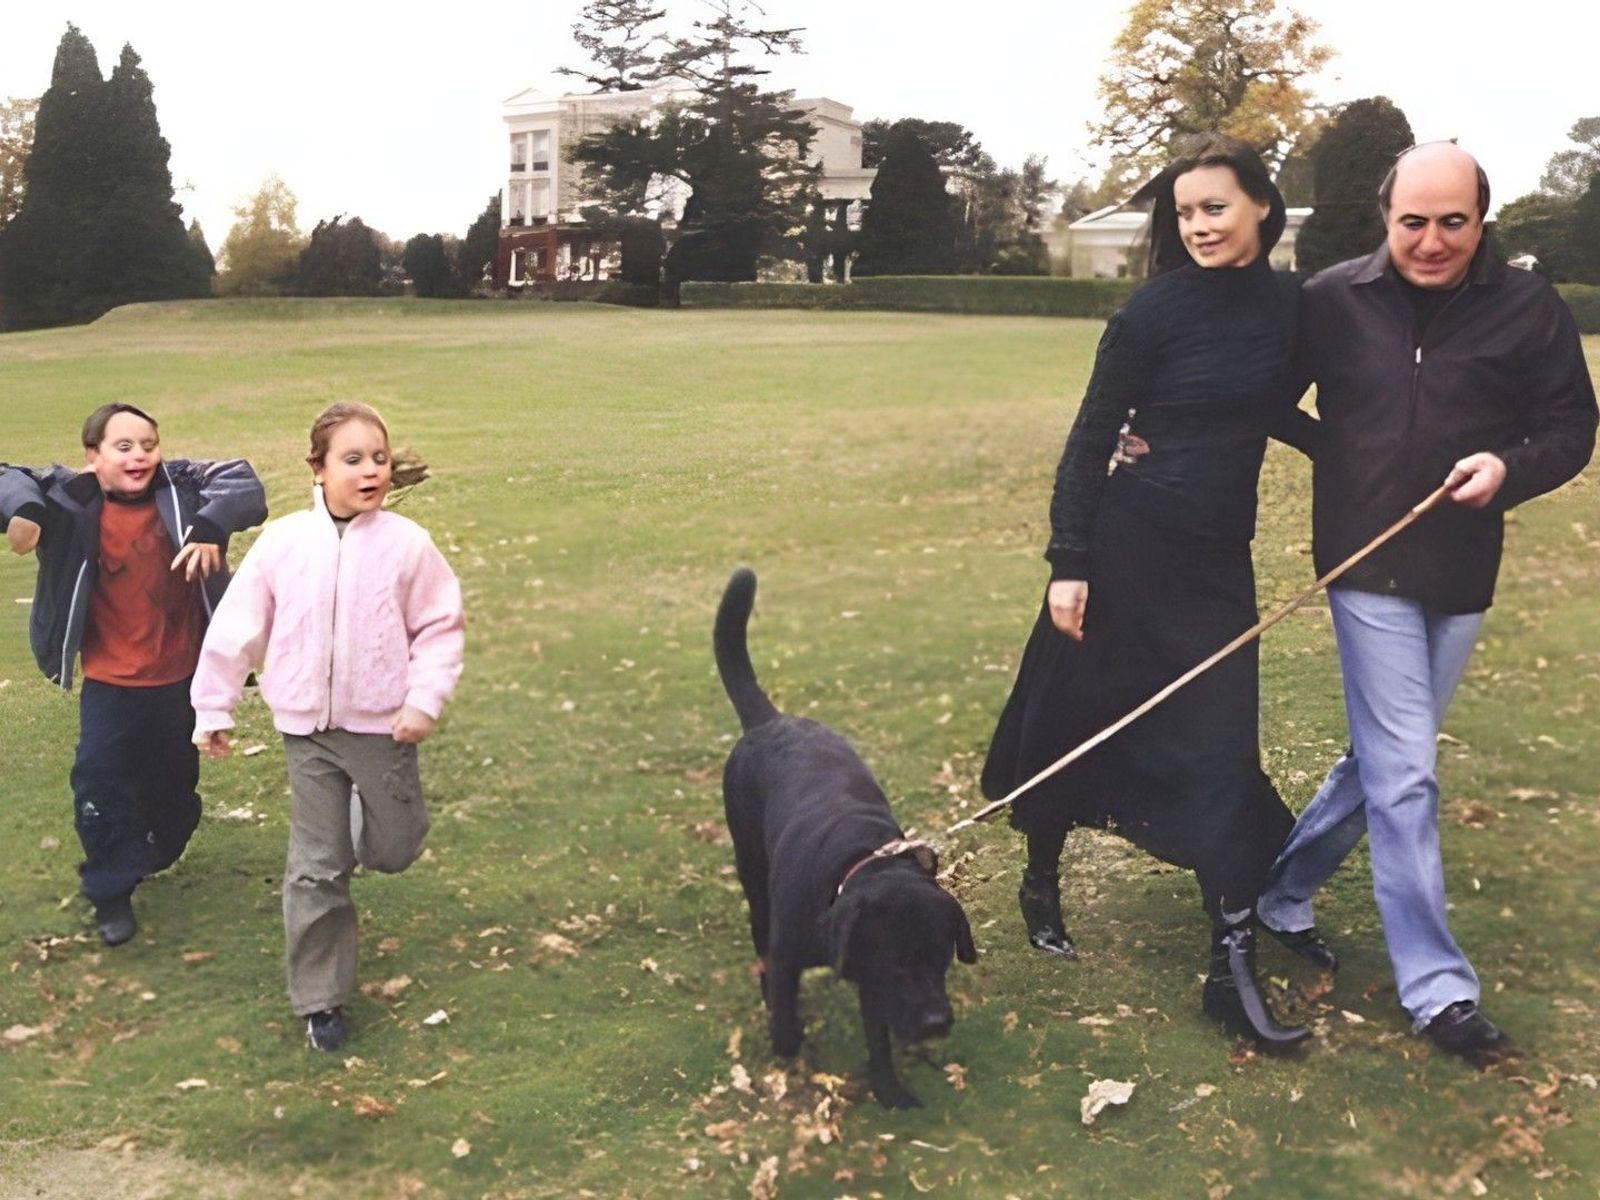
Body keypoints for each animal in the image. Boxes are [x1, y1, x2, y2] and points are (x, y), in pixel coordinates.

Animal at [714, 568, 977, 1109]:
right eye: (899, 964)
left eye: (942, 957)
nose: (936, 1023)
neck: (851, 867)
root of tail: (771, 720)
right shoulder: (799, 956)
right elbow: (785, 1005)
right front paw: (787, 1040)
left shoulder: (872, 984)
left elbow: (877, 1036)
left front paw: (888, 1088)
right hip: (751, 868)